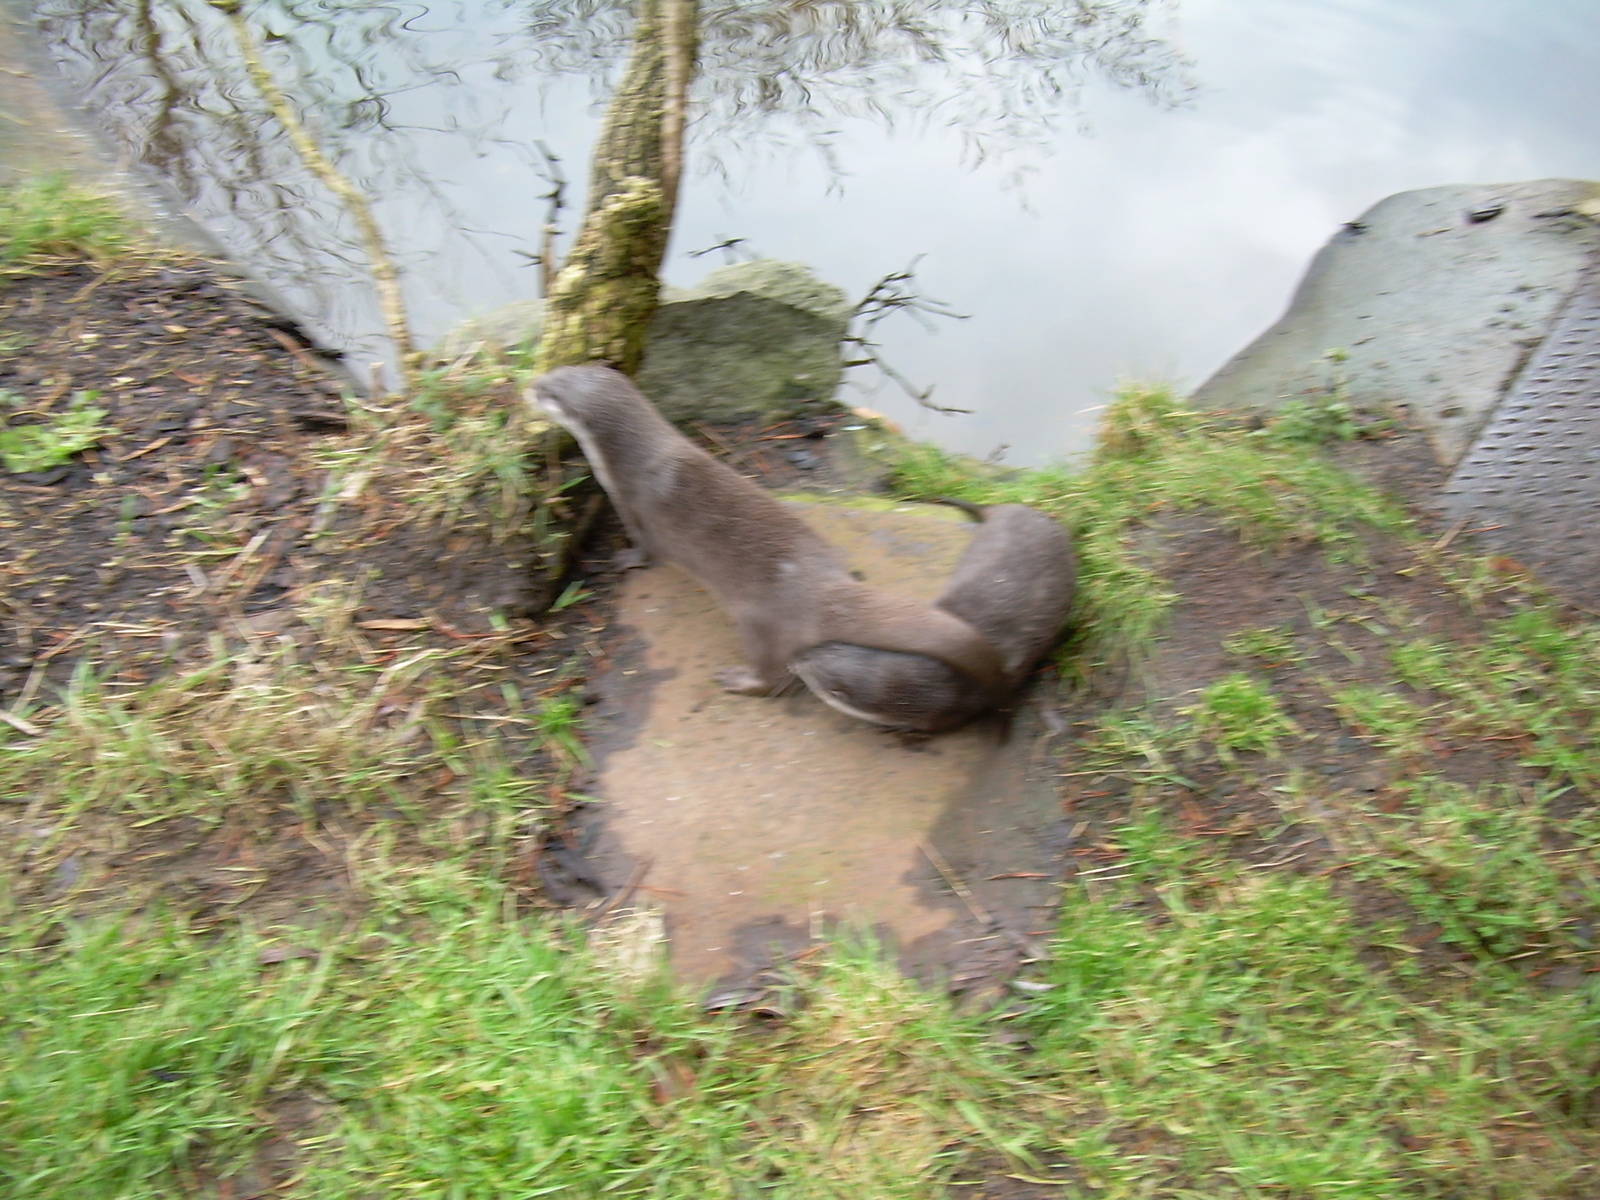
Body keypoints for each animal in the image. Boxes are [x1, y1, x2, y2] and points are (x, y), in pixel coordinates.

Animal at [528, 365, 1006, 699]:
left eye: (551, 392)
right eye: (557, 370)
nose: (531, 384)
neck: (633, 458)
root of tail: (821, 590)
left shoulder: (632, 506)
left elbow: (645, 549)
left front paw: (624, 559)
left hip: (759, 623)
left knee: (772, 674)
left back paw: (739, 680)